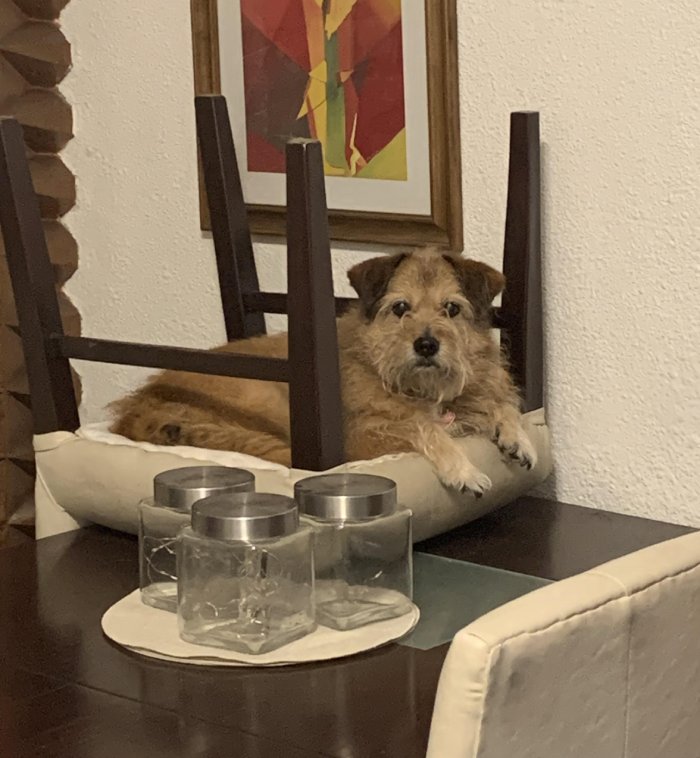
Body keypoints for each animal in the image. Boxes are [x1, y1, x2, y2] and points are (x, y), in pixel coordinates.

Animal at [109, 251, 536, 498]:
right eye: (400, 307)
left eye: (452, 308)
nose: (427, 345)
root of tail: (139, 410)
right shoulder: (363, 436)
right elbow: (422, 427)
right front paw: (462, 468)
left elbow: (501, 406)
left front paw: (517, 436)